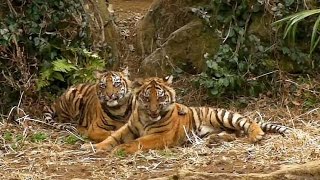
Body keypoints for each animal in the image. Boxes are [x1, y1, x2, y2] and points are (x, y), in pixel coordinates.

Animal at [81, 75, 292, 153]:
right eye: (147, 98)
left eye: (160, 97)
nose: (154, 110)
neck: (145, 117)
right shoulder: (129, 128)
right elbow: (112, 137)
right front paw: (93, 147)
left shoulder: (160, 135)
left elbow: (137, 142)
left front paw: (120, 149)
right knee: (234, 133)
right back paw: (216, 140)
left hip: (222, 116)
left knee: (247, 122)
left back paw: (256, 134)